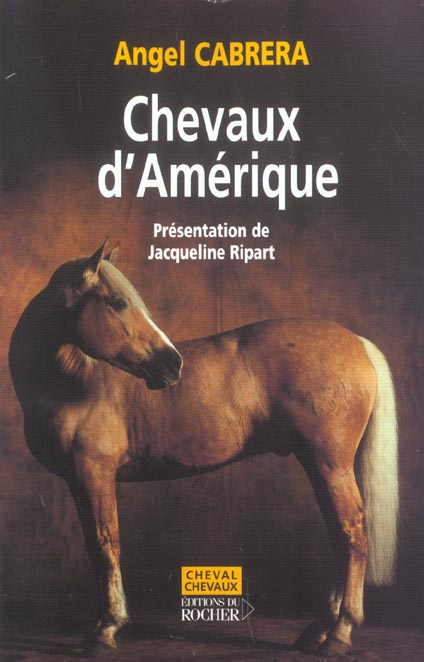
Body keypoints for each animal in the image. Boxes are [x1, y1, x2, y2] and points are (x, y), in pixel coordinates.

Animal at [9, 240, 398, 657]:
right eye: (118, 303)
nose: (172, 363)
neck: (72, 380)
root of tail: (357, 341)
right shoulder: (78, 481)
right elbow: (96, 547)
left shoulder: (94, 472)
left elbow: (105, 545)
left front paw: (105, 630)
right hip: (319, 463)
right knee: (339, 535)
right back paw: (320, 629)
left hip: (329, 463)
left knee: (352, 534)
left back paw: (340, 631)